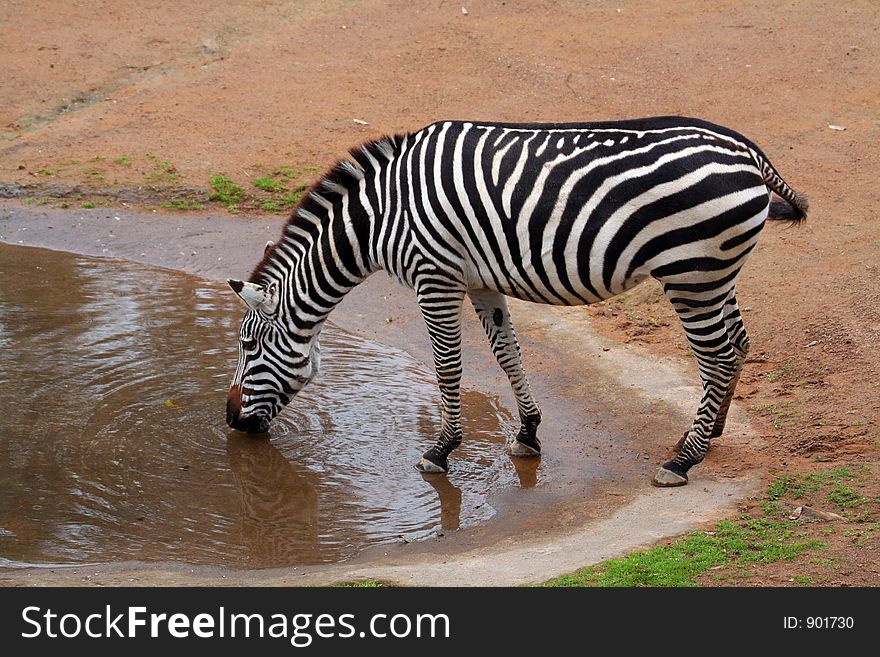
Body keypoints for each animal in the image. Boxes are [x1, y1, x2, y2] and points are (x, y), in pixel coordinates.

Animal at [223, 116, 808, 486]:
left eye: (249, 346)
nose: (229, 421)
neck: (380, 217)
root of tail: (747, 151)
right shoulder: (480, 280)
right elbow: (507, 354)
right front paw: (527, 432)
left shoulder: (434, 276)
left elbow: (449, 366)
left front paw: (441, 450)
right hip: (714, 274)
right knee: (739, 343)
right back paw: (709, 433)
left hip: (691, 273)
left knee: (719, 355)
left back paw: (684, 461)